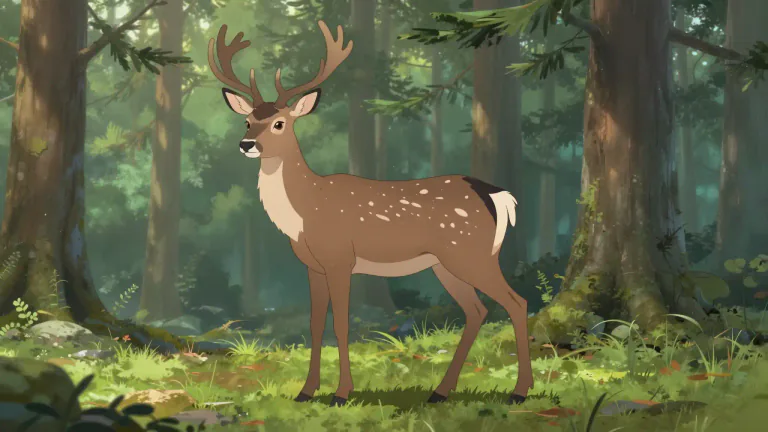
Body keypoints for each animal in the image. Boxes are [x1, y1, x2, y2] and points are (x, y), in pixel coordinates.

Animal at [208, 20, 533, 407]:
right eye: (246, 120)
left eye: (279, 123)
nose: (247, 145)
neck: (306, 210)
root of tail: (496, 194)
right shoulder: (313, 265)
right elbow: (315, 324)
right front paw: (306, 391)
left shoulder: (339, 258)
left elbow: (341, 324)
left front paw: (341, 393)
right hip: (446, 263)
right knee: (477, 310)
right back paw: (440, 391)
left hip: (472, 253)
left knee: (517, 301)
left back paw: (519, 391)